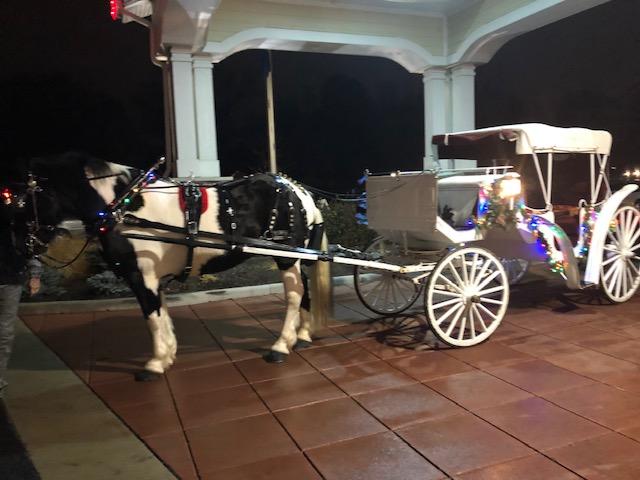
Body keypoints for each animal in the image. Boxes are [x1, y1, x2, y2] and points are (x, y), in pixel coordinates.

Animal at [7, 152, 331, 380]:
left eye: (23, 199)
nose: (21, 245)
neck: (124, 207)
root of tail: (299, 191)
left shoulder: (141, 276)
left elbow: (151, 316)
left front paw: (155, 363)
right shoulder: (152, 278)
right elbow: (161, 314)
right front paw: (168, 354)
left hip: (286, 256)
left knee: (293, 295)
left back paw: (281, 345)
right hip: (296, 256)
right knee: (304, 291)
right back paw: (302, 336)